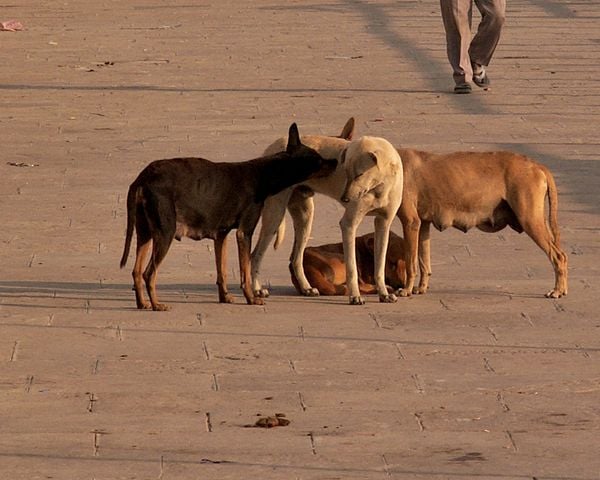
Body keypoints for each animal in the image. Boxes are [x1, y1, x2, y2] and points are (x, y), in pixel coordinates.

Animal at [119, 124, 338, 312]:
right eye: (319, 161)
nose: (335, 161)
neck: (263, 174)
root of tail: (143, 178)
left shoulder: (221, 235)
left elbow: (222, 270)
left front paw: (224, 297)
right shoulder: (244, 232)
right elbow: (245, 271)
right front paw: (251, 298)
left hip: (145, 233)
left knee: (136, 271)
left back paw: (143, 303)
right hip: (165, 233)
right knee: (149, 273)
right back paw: (157, 305)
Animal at [340, 137, 406, 306]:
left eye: (359, 175)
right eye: (345, 172)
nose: (345, 199)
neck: (379, 188)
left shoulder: (384, 223)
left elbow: (380, 265)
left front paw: (384, 294)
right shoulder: (349, 224)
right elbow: (351, 268)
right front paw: (355, 296)